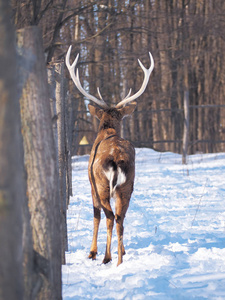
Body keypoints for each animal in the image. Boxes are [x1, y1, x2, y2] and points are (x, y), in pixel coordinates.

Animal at [64, 45, 153, 266]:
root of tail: (116, 159)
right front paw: (123, 251)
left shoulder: (91, 185)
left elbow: (95, 216)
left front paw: (92, 252)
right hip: (127, 186)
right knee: (120, 218)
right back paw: (120, 260)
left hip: (102, 185)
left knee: (110, 217)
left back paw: (106, 257)